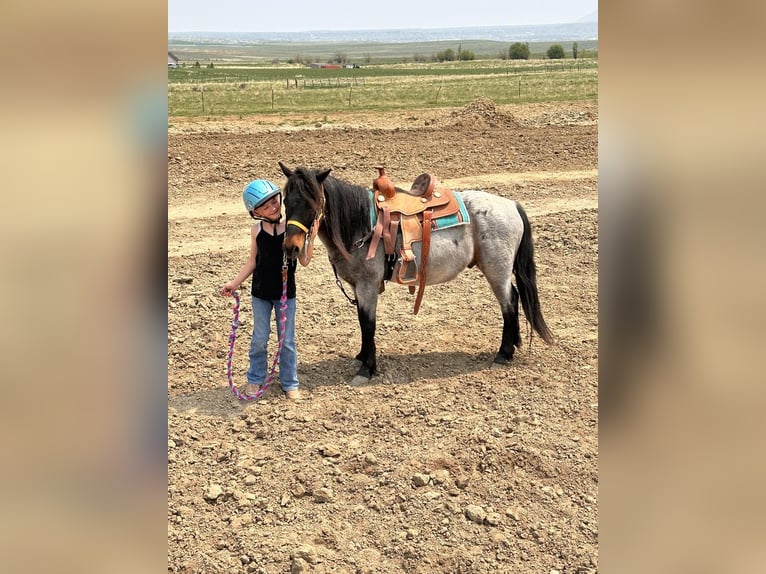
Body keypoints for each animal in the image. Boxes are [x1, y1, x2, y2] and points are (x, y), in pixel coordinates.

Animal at [280, 162, 556, 388]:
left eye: (312, 203)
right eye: (285, 201)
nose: (290, 247)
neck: (361, 225)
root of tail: (511, 205)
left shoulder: (368, 286)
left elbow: (368, 324)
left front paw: (366, 369)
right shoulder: (359, 287)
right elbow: (362, 322)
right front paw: (361, 357)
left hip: (497, 270)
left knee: (509, 303)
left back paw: (503, 353)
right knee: (515, 298)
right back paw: (512, 347)